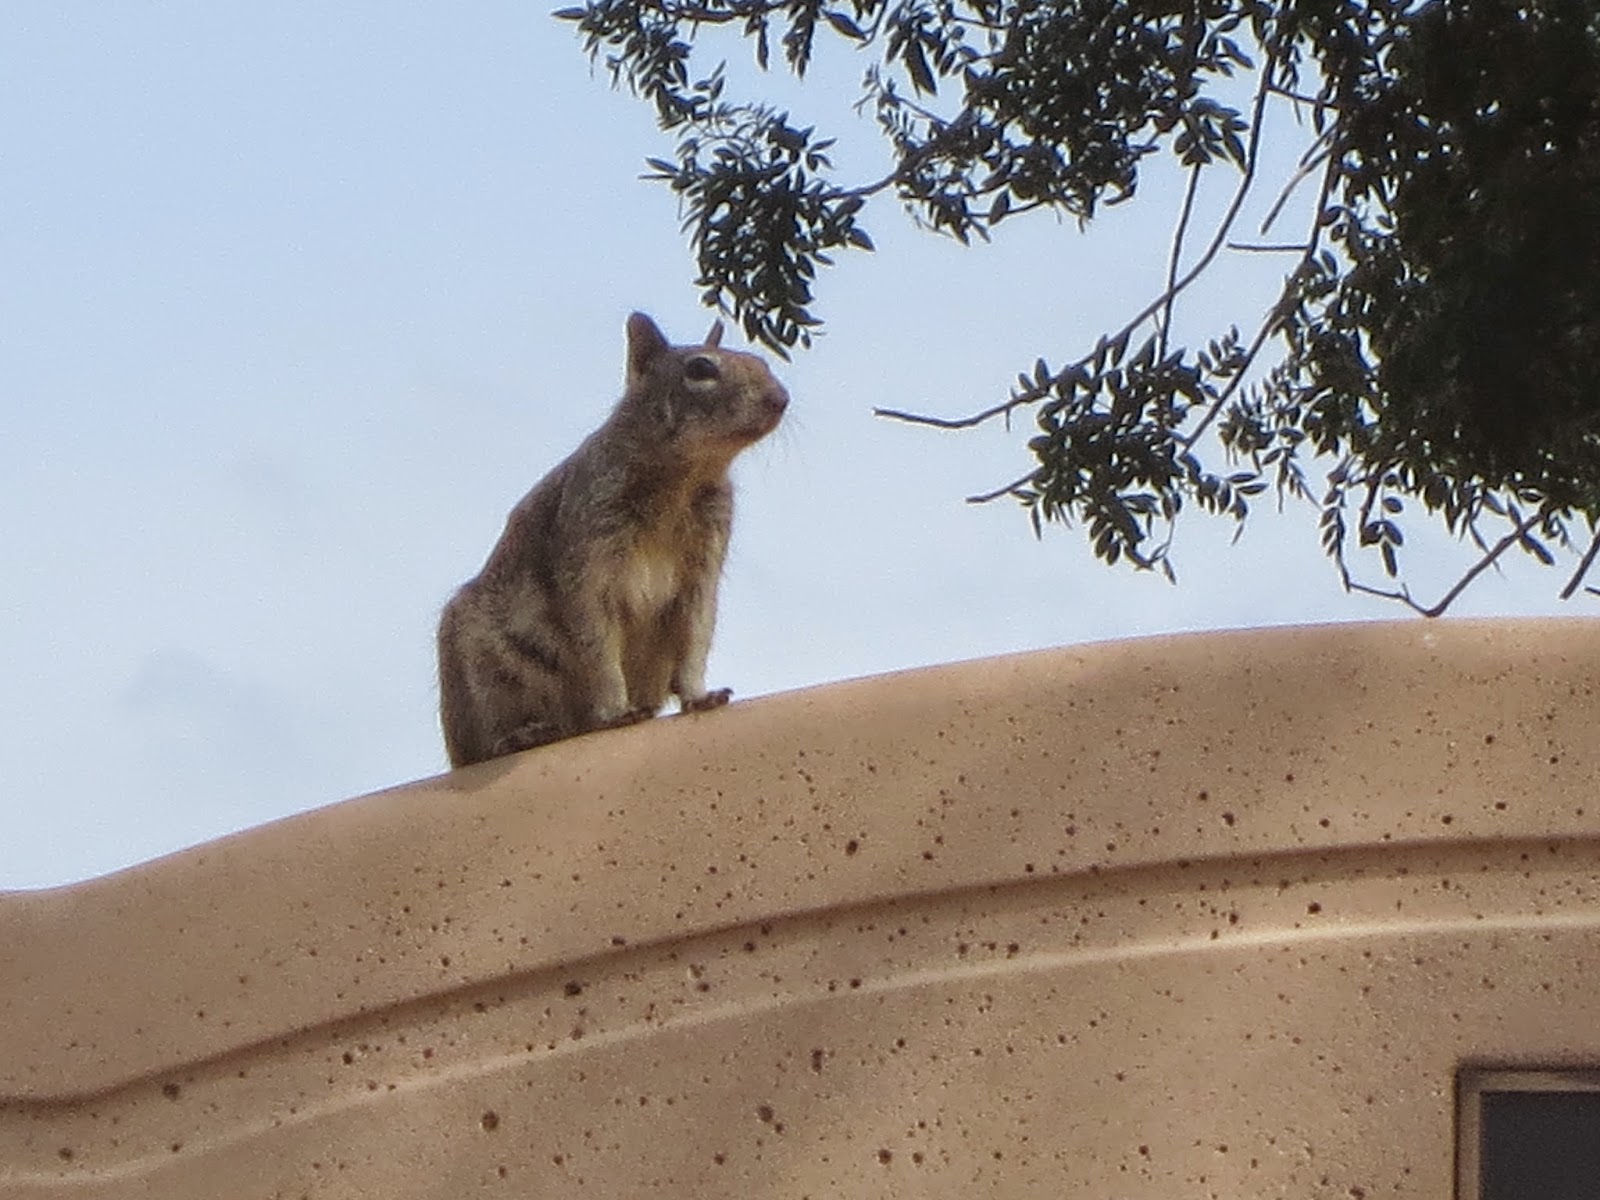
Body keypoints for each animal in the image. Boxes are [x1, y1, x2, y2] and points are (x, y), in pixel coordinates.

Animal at [436, 312, 789, 768]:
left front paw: (699, 696)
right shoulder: (588, 565)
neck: (683, 480)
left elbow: (695, 638)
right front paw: (617, 711)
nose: (780, 399)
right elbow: (597, 646)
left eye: (760, 361)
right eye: (700, 369)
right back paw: (523, 735)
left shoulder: (702, 569)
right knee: (490, 741)